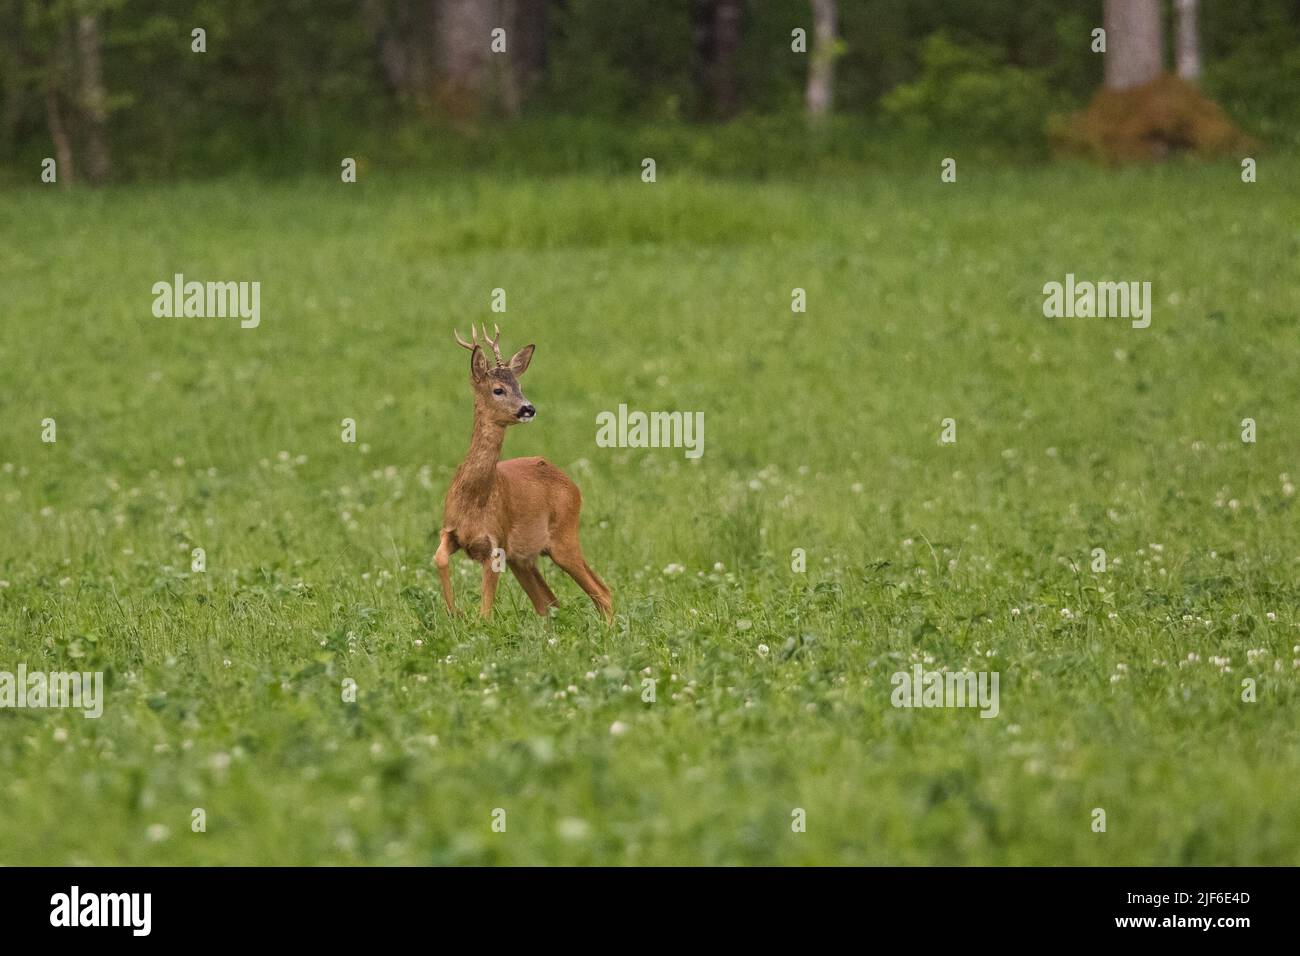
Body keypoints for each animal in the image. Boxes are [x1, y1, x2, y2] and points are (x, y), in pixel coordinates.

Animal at [436, 321, 613, 624]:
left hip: (564, 538)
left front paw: (468, 619)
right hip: (524, 558)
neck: (474, 499)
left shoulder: (495, 544)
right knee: (548, 602)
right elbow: (440, 558)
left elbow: (485, 612)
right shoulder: (451, 529)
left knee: (602, 592)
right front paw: (453, 612)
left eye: (519, 385)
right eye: (498, 389)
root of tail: (572, 485)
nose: (528, 408)